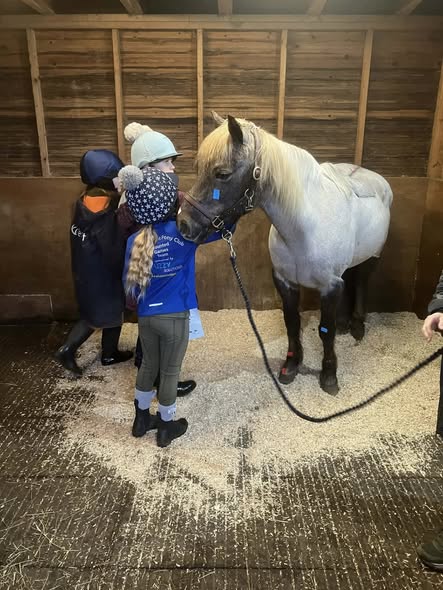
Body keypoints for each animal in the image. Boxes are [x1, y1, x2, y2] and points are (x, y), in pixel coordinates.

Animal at [177, 112, 393, 394]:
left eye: (222, 173)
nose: (184, 225)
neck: (304, 228)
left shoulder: (330, 286)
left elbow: (326, 330)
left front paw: (329, 376)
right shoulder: (285, 280)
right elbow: (292, 323)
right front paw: (291, 366)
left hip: (373, 257)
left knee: (362, 281)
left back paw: (357, 325)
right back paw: (347, 323)